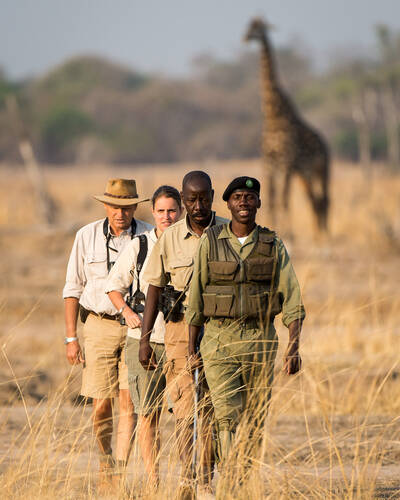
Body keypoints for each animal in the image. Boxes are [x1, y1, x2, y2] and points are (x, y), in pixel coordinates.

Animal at [245, 17, 330, 232]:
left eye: (259, 27)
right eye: (248, 25)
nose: (245, 37)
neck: (273, 116)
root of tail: (325, 145)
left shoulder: (287, 163)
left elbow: (284, 201)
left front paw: (290, 233)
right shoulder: (269, 163)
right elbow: (271, 200)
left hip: (322, 168)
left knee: (325, 199)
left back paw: (325, 234)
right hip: (306, 174)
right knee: (314, 200)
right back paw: (318, 233)